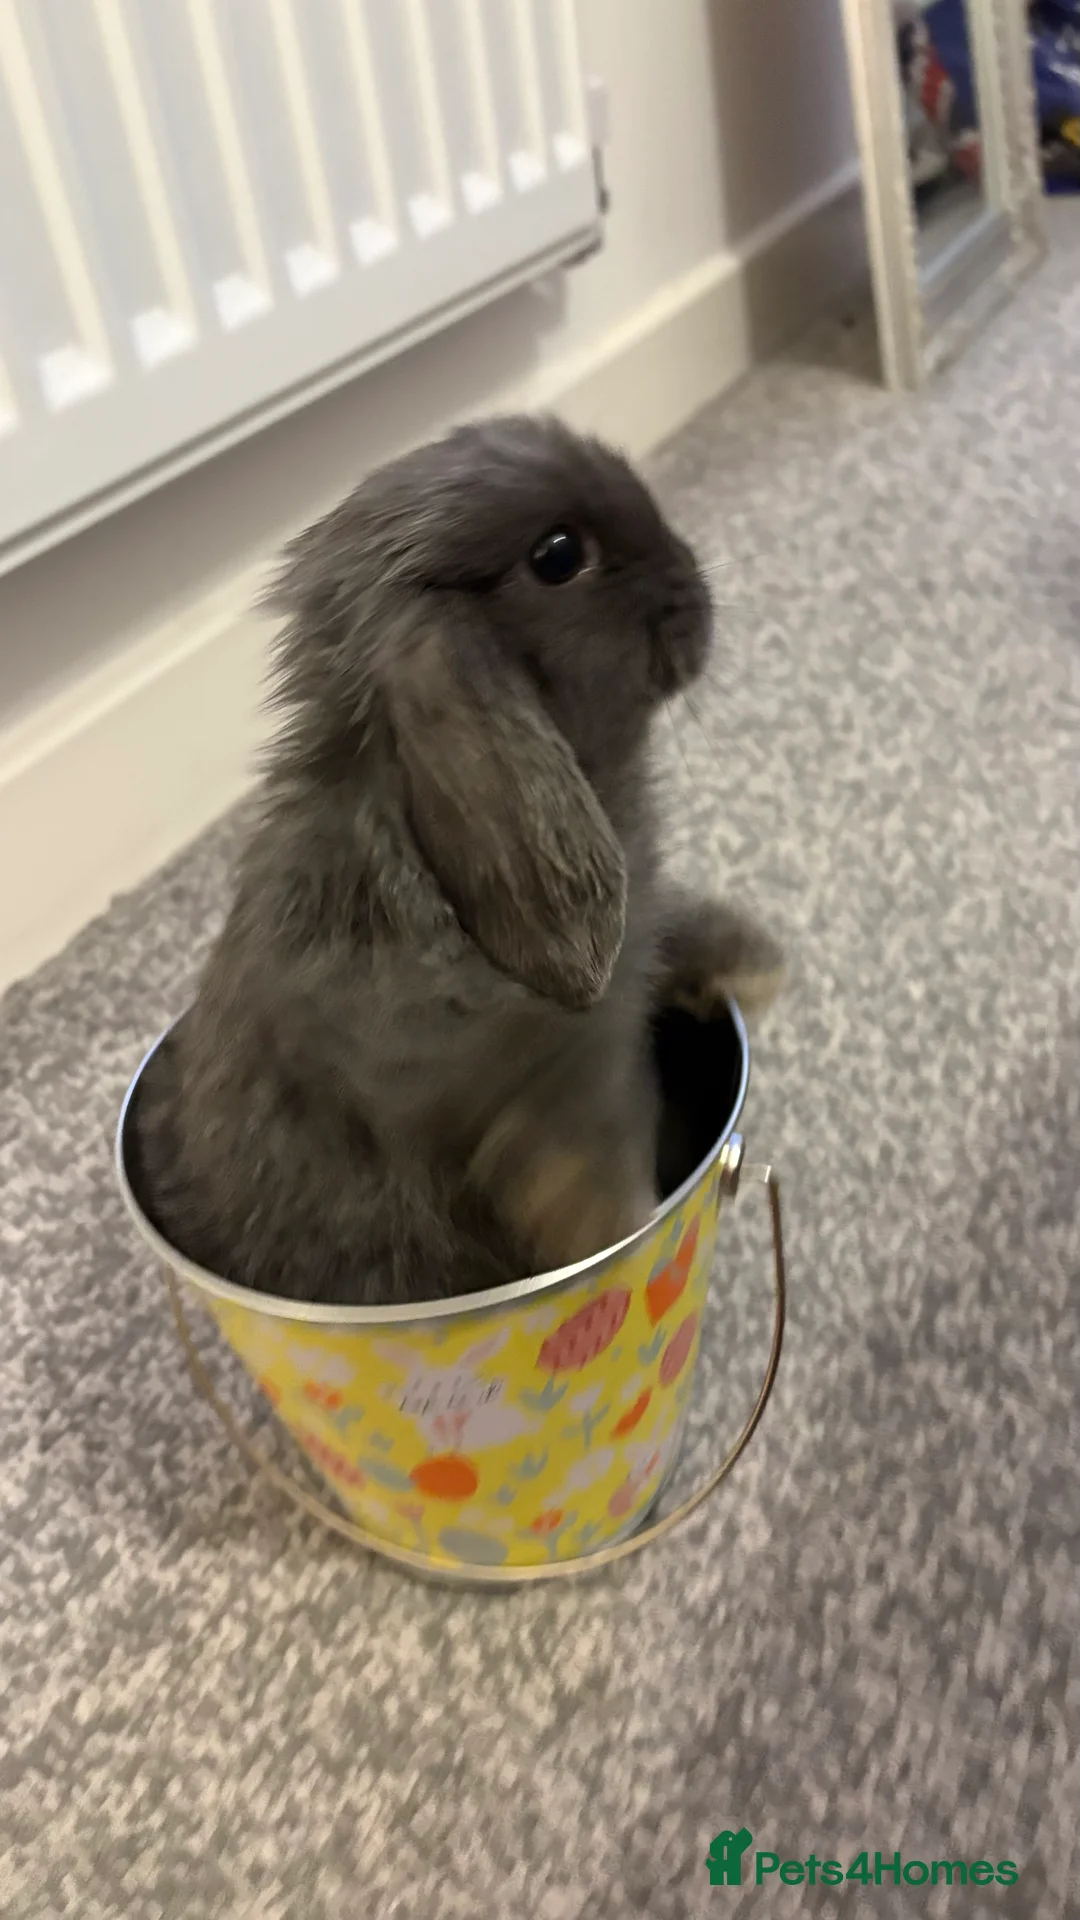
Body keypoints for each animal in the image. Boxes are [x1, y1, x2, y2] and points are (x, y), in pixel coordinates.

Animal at [132, 414, 783, 1307]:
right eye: (558, 556)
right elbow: (590, 1190)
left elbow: (671, 928)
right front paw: (631, 1237)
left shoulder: (633, 946)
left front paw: (754, 961)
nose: (693, 580)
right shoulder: (555, 1099)